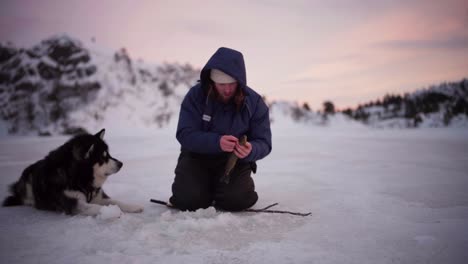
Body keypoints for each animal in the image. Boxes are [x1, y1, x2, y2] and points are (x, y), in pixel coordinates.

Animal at [1, 128, 144, 217]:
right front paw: (113, 213)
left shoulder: (98, 197)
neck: (81, 178)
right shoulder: (73, 202)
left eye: (108, 154)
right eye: (103, 157)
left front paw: (132, 206)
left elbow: (116, 201)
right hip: (28, 181)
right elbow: (94, 207)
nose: (121, 164)